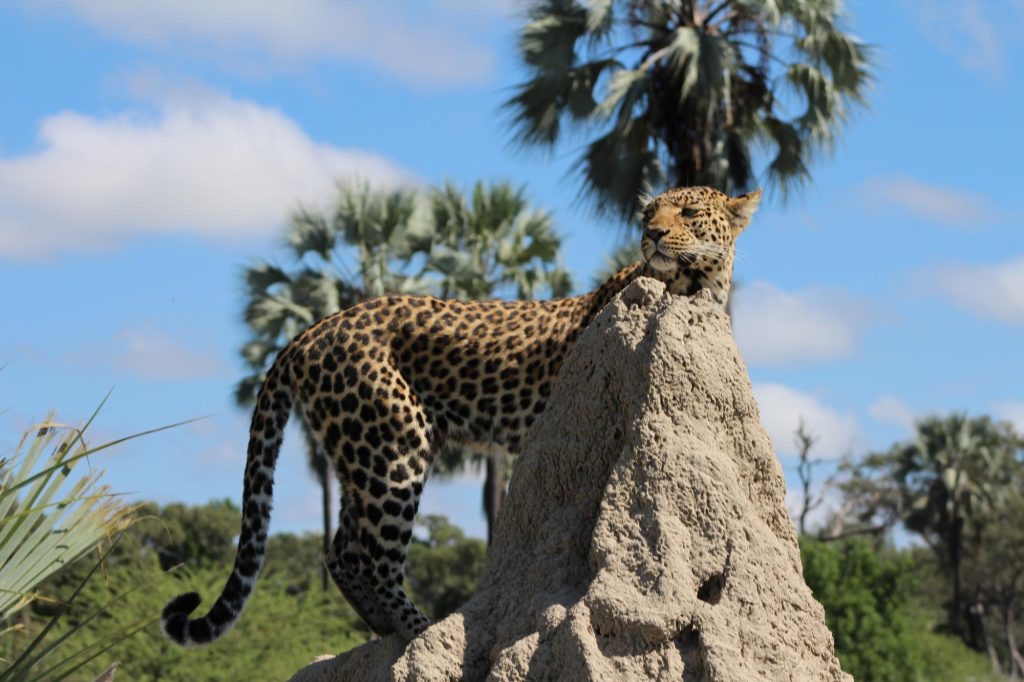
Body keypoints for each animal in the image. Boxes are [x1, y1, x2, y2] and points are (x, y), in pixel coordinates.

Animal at [160, 185, 762, 646]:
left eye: (688, 212)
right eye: (647, 213)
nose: (652, 234)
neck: (698, 290)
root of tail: (312, 330)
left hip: (359, 451)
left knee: (341, 554)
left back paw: (393, 637)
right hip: (394, 448)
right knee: (370, 560)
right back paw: (426, 634)